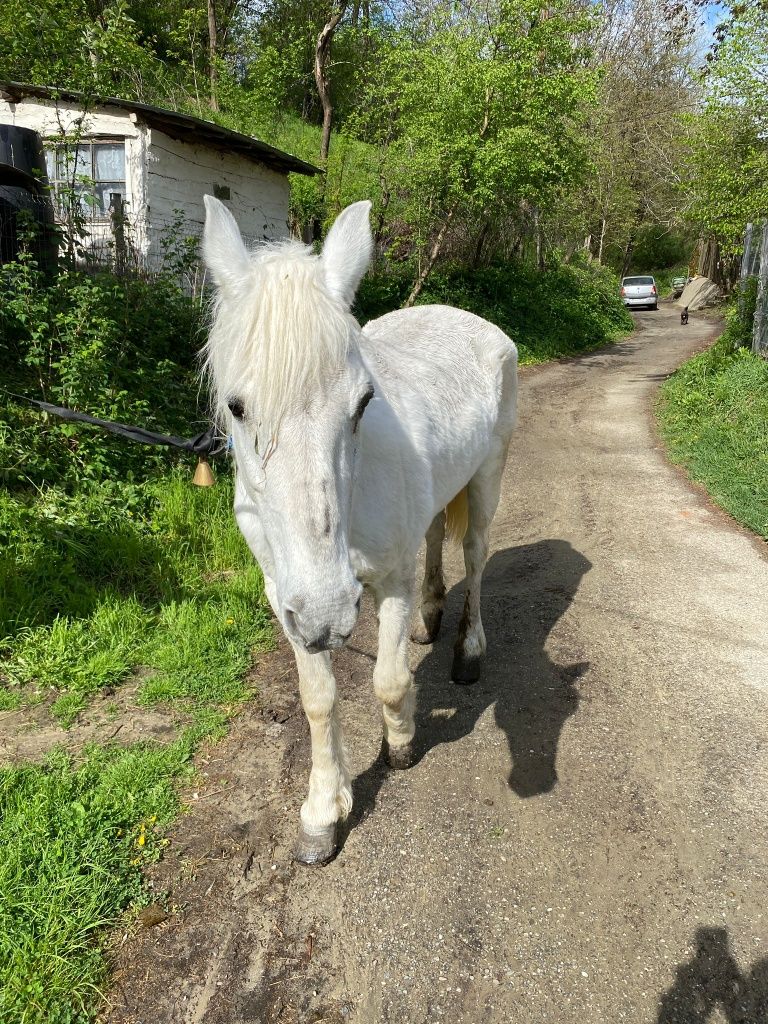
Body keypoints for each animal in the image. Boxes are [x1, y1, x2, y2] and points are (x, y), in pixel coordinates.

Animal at [202, 193, 518, 864]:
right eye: (237, 407)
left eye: (363, 402)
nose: (329, 614)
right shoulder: (287, 598)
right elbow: (319, 701)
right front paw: (324, 812)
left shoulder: (384, 583)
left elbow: (389, 680)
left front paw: (400, 744)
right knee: (436, 539)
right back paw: (430, 616)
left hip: (488, 475)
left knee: (476, 555)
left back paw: (467, 649)